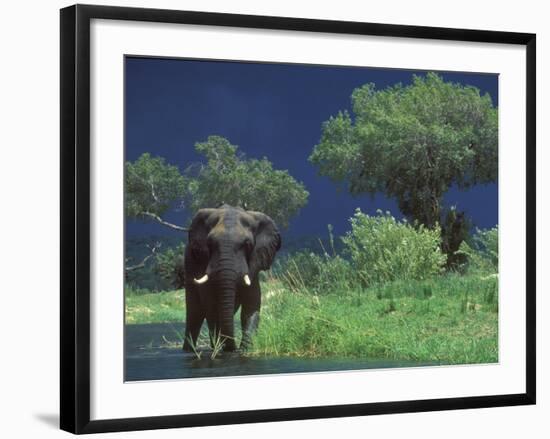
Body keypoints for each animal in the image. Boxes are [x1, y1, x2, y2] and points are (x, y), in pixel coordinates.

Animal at [183, 205, 282, 352]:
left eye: (247, 244)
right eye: (210, 244)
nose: (233, 348)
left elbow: (250, 308)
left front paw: (245, 349)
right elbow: (211, 307)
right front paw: (222, 347)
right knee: (194, 314)